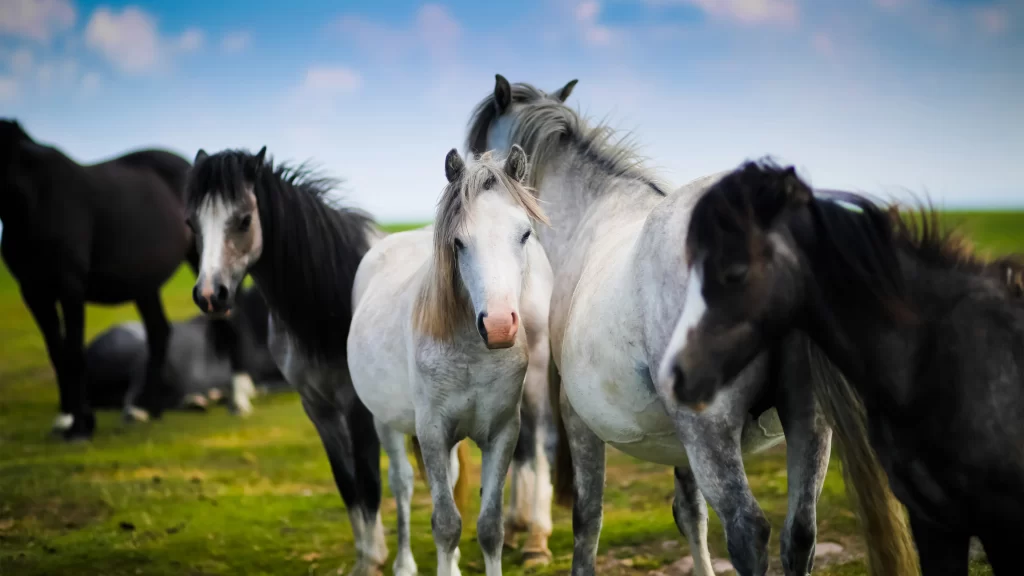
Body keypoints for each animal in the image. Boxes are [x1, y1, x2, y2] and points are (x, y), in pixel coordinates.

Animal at [0, 119, 196, 441]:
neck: (37, 198)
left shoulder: (70, 287)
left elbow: (74, 352)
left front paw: (80, 426)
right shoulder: (34, 291)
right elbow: (57, 353)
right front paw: (66, 419)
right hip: (144, 284)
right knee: (158, 331)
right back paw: (147, 408)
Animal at [347, 146, 553, 576]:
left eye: (525, 234)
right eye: (458, 242)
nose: (498, 326)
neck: (473, 355)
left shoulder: (502, 432)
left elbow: (489, 527)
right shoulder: (432, 432)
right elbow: (445, 524)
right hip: (385, 422)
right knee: (403, 483)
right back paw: (404, 564)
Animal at [465, 75, 844, 576]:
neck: (592, 212)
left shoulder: (578, 417)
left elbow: (587, 519)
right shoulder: (678, 441)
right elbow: (690, 514)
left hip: (710, 431)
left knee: (748, 531)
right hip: (808, 422)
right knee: (799, 534)